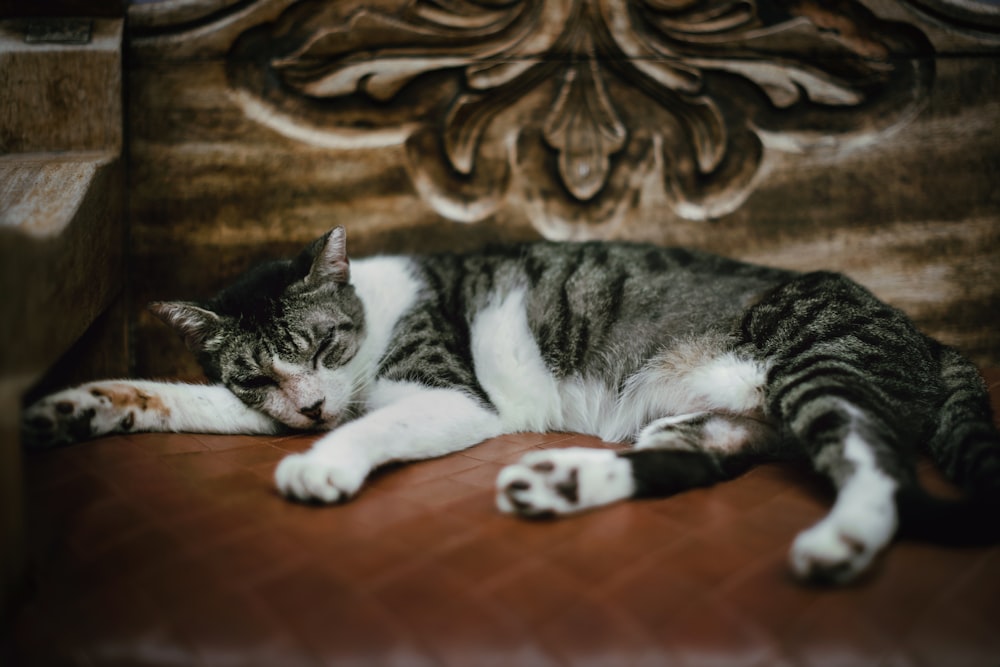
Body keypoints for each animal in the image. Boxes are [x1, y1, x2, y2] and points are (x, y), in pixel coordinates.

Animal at [23, 228, 1000, 584]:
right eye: (258, 376)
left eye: (322, 344)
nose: (306, 410)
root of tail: (924, 334)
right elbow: (187, 396)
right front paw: (79, 406)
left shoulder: (448, 395)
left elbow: (376, 420)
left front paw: (322, 462)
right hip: (715, 419)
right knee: (690, 461)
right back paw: (561, 482)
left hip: (820, 363)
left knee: (876, 462)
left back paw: (843, 539)